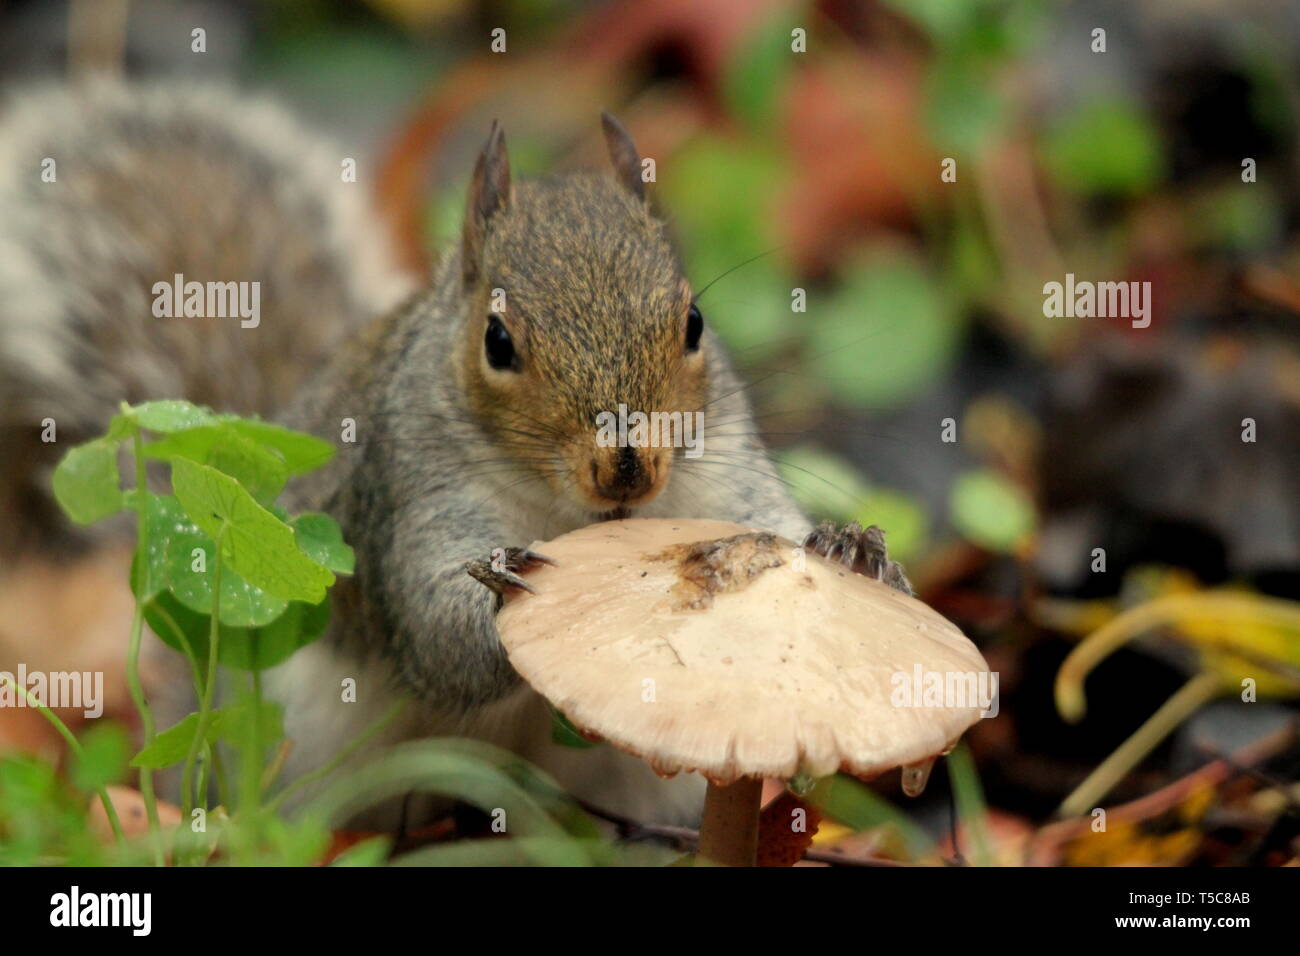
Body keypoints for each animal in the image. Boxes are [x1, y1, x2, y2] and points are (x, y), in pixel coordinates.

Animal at [0, 82, 909, 832]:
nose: (627, 467)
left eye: (694, 323)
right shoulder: (407, 491)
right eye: (497, 342)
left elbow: (770, 523)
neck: (570, 510)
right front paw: (504, 587)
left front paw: (851, 546)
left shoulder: (721, 466)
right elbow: (432, 627)